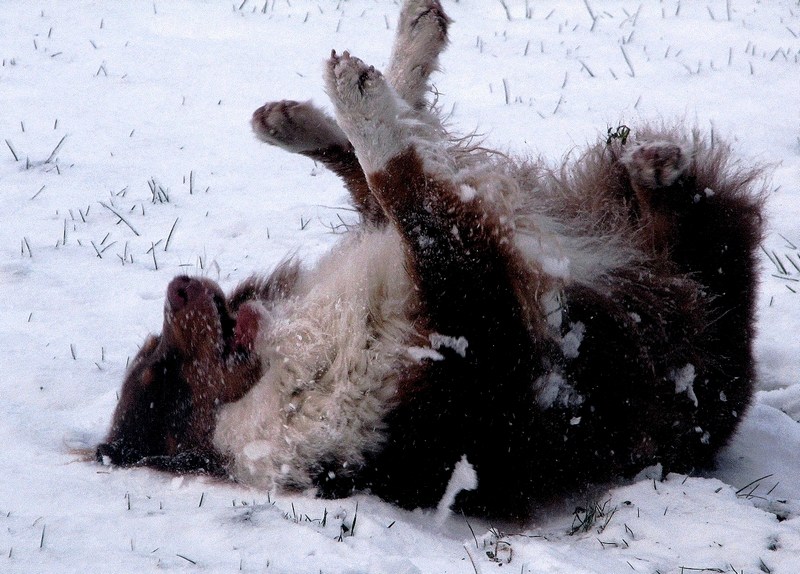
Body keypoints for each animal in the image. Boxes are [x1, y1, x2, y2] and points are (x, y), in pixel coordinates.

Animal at [97, 0, 764, 520]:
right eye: (164, 373)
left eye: (158, 355)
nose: (178, 286)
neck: (292, 371)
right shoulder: (479, 324)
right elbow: (406, 186)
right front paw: (364, 101)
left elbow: (388, 180)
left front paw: (367, 88)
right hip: (697, 328)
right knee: (704, 253)